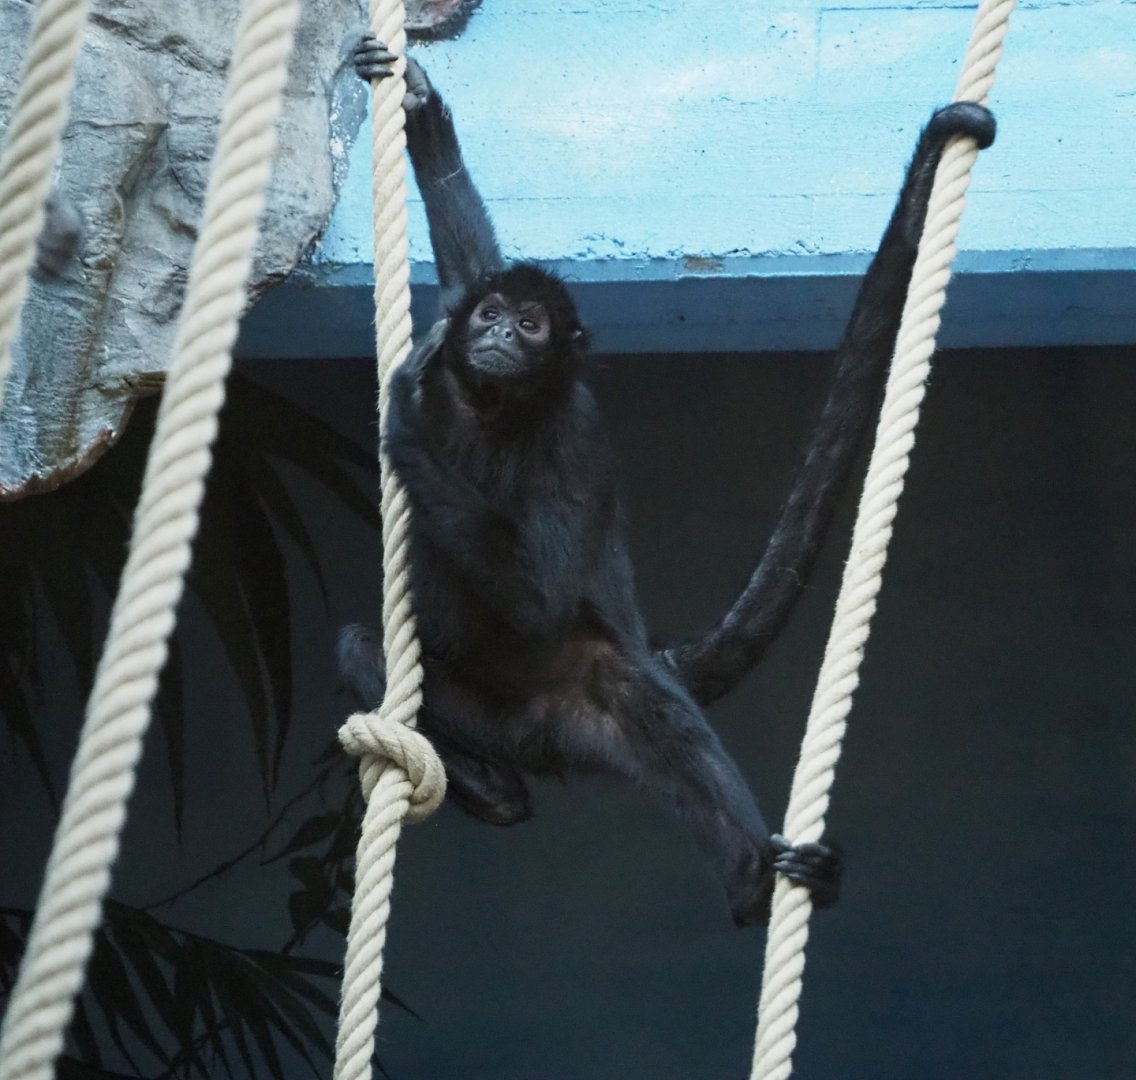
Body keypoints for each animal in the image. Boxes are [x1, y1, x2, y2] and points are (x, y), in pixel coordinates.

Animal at [342, 36, 996, 925]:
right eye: (492, 316)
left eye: (531, 325)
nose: (500, 338)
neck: (491, 409)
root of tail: (526, 730)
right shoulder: (452, 345)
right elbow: (463, 260)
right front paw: (421, 105)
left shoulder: (573, 428)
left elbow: (544, 594)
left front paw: (403, 417)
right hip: (472, 706)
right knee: (360, 646)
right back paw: (493, 788)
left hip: (583, 691)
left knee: (651, 709)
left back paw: (756, 884)